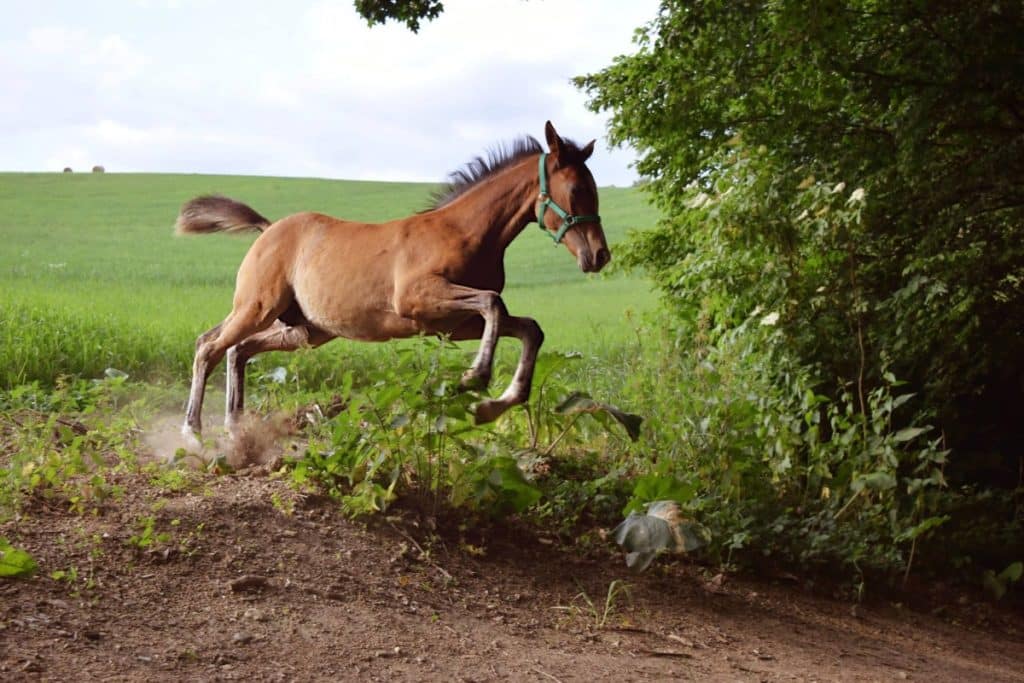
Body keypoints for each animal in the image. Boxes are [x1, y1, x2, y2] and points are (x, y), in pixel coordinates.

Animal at [175, 121, 606, 444]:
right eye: (577, 189)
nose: (600, 255)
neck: (464, 232)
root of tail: (267, 229)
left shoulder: (454, 325)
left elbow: (528, 327)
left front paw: (491, 407)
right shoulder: (418, 300)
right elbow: (492, 303)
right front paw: (474, 379)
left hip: (304, 330)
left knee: (235, 349)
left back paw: (235, 430)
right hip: (259, 307)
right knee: (210, 347)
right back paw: (192, 432)